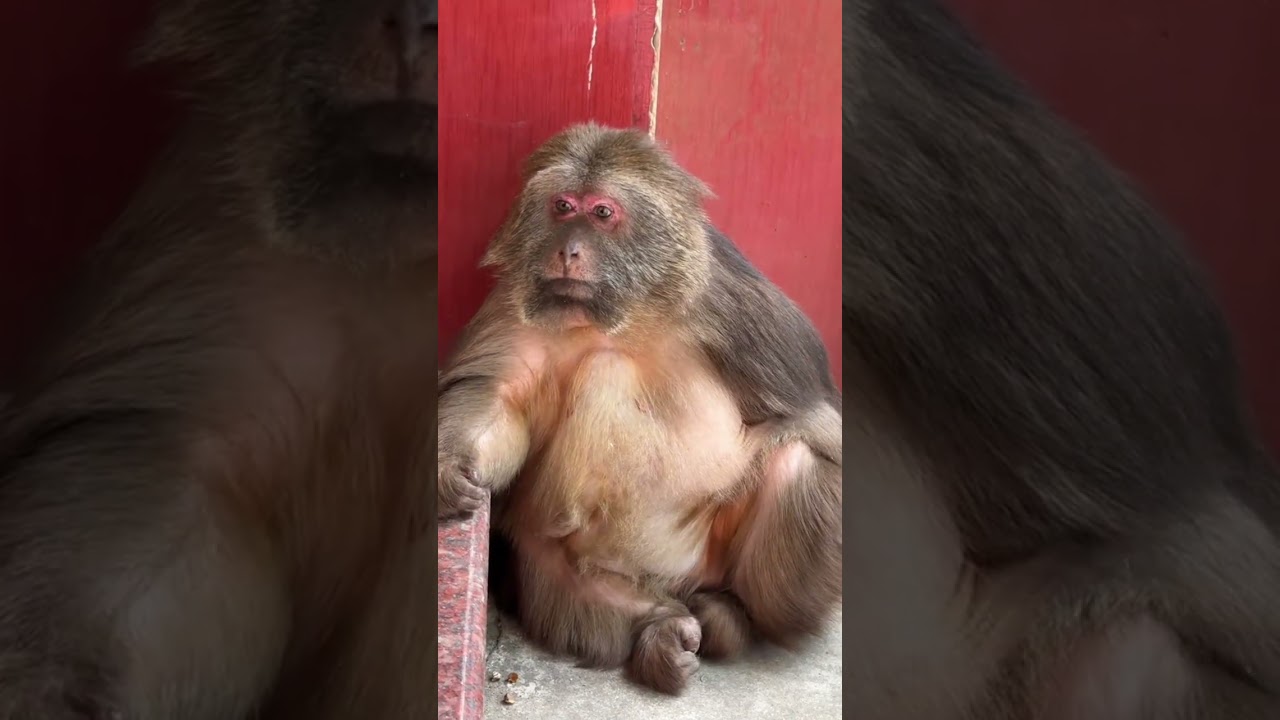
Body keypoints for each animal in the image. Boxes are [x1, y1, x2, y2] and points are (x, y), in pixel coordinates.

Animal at [435, 122, 843, 695]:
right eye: (563, 206)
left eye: (602, 212)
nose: (569, 251)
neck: (618, 316)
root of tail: (682, 577)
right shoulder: (517, 303)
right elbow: (498, 396)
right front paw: (449, 467)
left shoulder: (731, 300)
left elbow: (815, 410)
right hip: (579, 570)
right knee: (578, 591)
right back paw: (661, 637)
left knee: (795, 464)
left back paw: (731, 614)